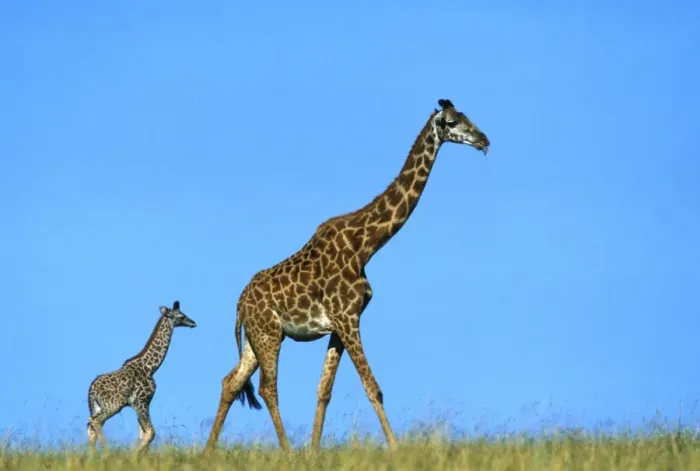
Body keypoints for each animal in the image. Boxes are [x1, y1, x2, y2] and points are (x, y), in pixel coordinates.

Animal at [86, 300, 196, 453]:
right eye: (181, 315)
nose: (193, 323)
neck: (151, 367)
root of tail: (91, 389)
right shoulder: (141, 401)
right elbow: (150, 432)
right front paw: (134, 454)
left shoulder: (143, 403)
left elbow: (143, 433)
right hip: (114, 405)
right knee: (95, 421)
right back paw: (107, 453)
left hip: (97, 405)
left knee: (90, 425)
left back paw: (93, 455)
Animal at [204, 98, 490, 453]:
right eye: (452, 122)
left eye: (467, 116)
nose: (484, 140)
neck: (365, 245)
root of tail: (239, 305)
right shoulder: (347, 318)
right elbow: (373, 387)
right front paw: (395, 448)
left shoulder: (340, 324)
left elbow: (323, 391)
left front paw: (314, 451)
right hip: (268, 334)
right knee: (267, 388)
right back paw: (286, 452)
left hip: (257, 338)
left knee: (230, 381)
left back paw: (208, 451)